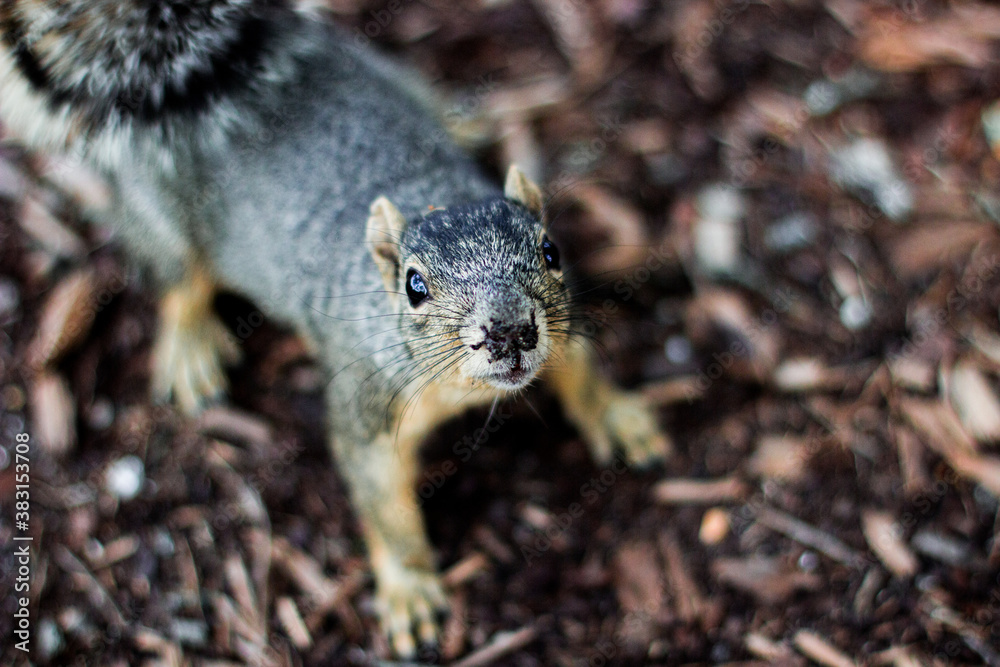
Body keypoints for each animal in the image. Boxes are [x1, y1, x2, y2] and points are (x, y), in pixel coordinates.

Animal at [0, 0, 672, 657]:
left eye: (551, 250)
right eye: (414, 286)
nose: (509, 332)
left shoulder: (560, 326)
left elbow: (579, 366)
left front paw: (616, 416)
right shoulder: (366, 402)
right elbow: (382, 502)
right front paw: (410, 588)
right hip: (163, 226)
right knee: (178, 288)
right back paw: (188, 349)